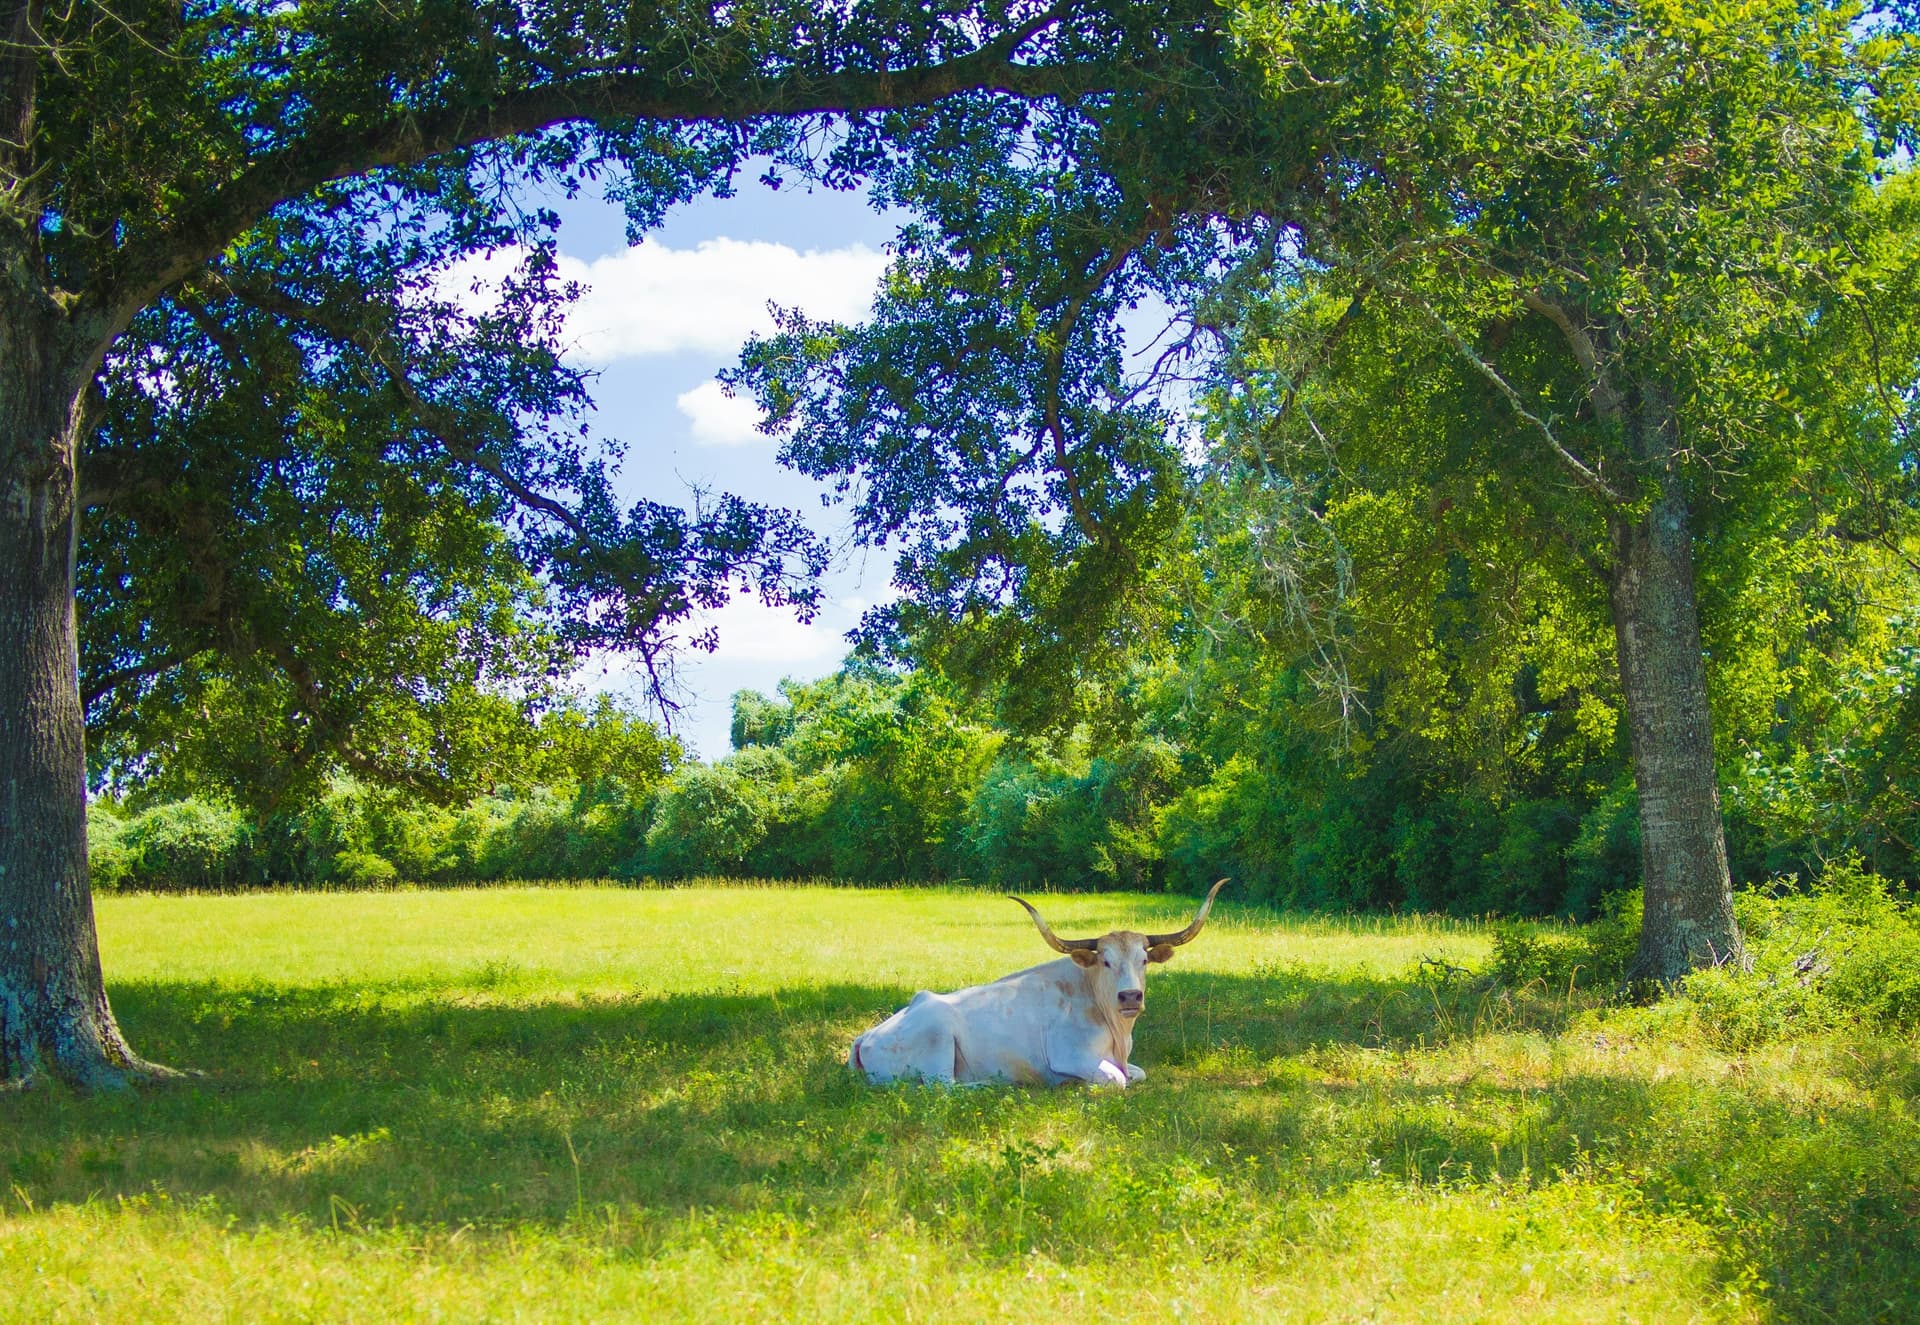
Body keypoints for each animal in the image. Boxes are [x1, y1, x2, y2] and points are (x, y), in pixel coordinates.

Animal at [849, 879, 1230, 1087]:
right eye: (1105, 960)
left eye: (1144, 960)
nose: (1130, 996)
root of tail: (866, 1036)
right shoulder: (1072, 1056)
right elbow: (1117, 1079)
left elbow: (1137, 1073)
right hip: (937, 1037)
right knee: (941, 1087)